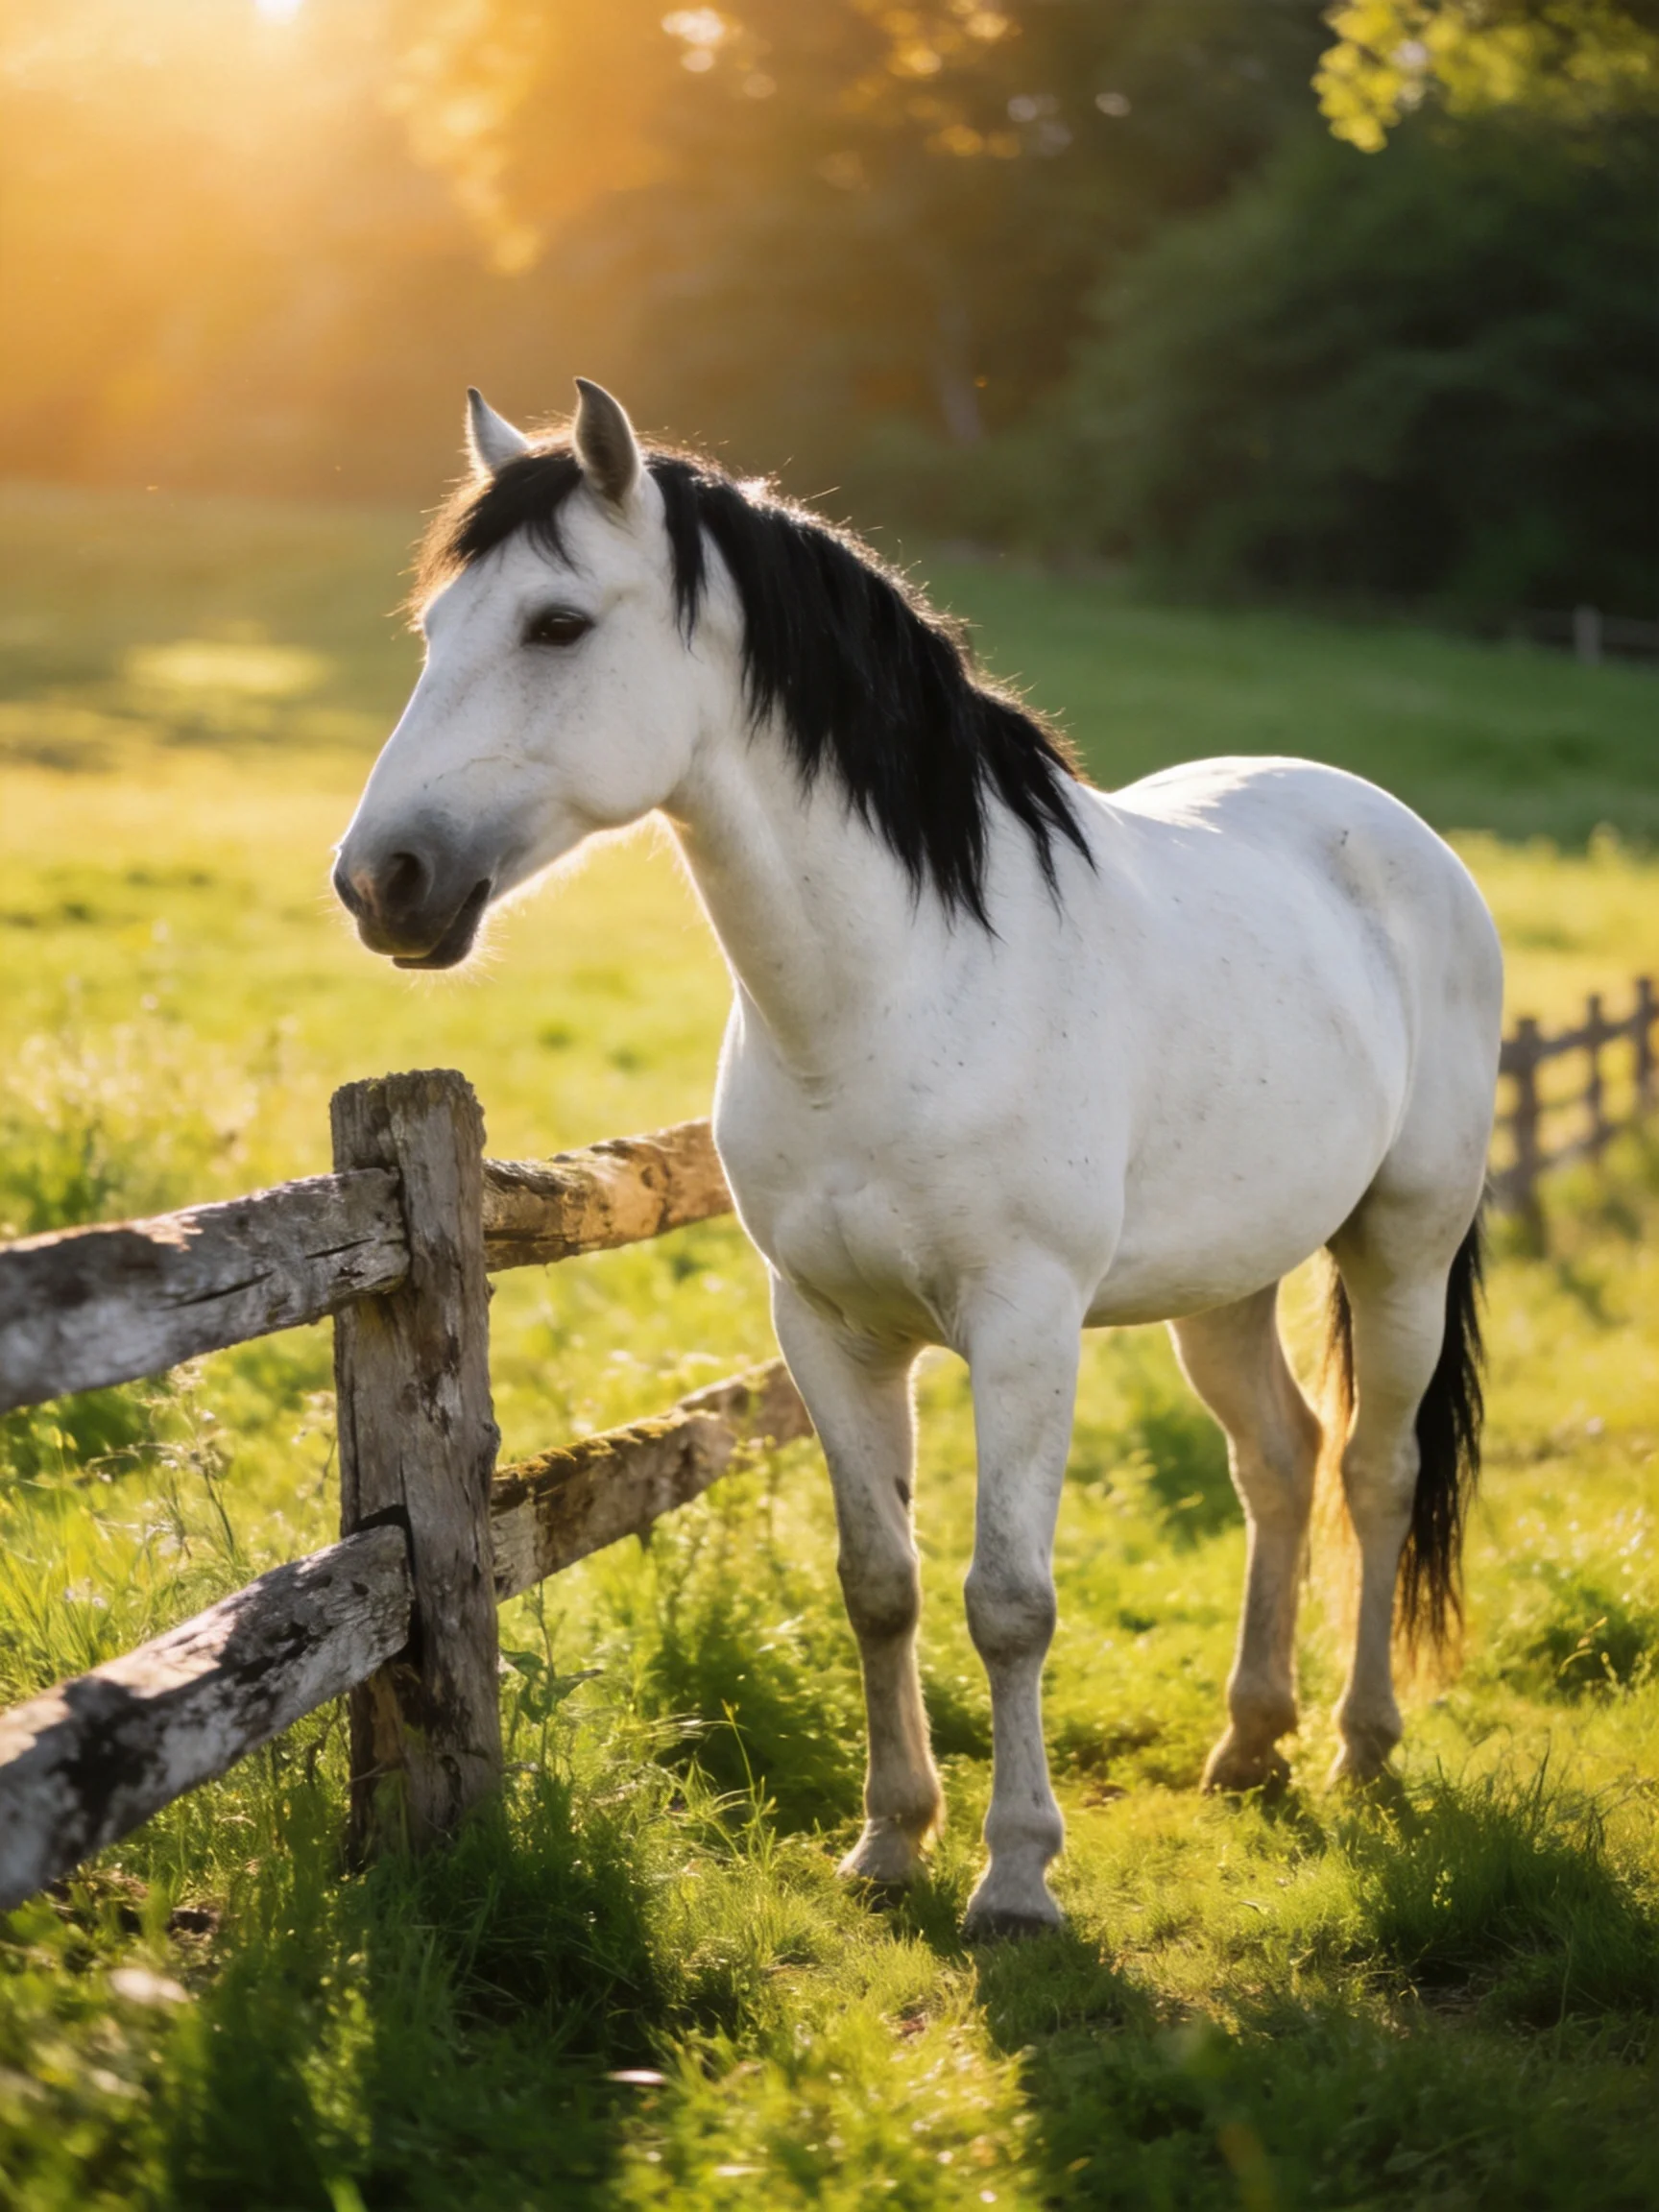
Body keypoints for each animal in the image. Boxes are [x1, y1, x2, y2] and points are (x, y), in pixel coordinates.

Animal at [334, 379, 1501, 1937]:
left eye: (557, 625)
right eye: (435, 631)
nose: (380, 883)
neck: (902, 986)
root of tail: (1394, 831)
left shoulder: (1023, 1326)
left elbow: (1009, 1599)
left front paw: (1015, 1877)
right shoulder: (826, 1327)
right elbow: (877, 1581)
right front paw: (890, 1840)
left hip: (1403, 1245)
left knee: (1376, 1472)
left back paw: (1364, 1748)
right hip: (1226, 1280)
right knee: (1281, 1461)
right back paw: (1251, 1743)